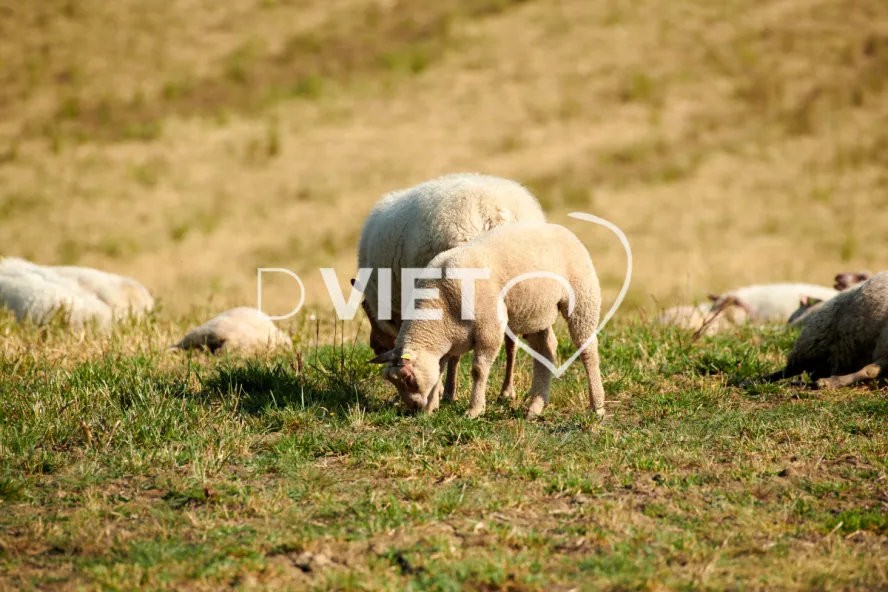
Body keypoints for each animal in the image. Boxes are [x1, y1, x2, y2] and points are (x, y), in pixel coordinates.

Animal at [356, 173, 546, 403]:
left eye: (370, 317)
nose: (374, 346)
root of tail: (496, 215)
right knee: (512, 342)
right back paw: (507, 390)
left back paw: (449, 392)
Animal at [369, 221, 605, 420]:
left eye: (408, 379)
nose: (414, 409)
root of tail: (561, 228)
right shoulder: (446, 343)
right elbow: (439, 370)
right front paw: (430, 409)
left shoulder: (489, 329)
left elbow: (478, 370)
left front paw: (474, 410)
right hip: (537, 311)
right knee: (546, 351)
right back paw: (535, 407)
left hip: (583, 297)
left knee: (588, 350)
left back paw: (597, 406)